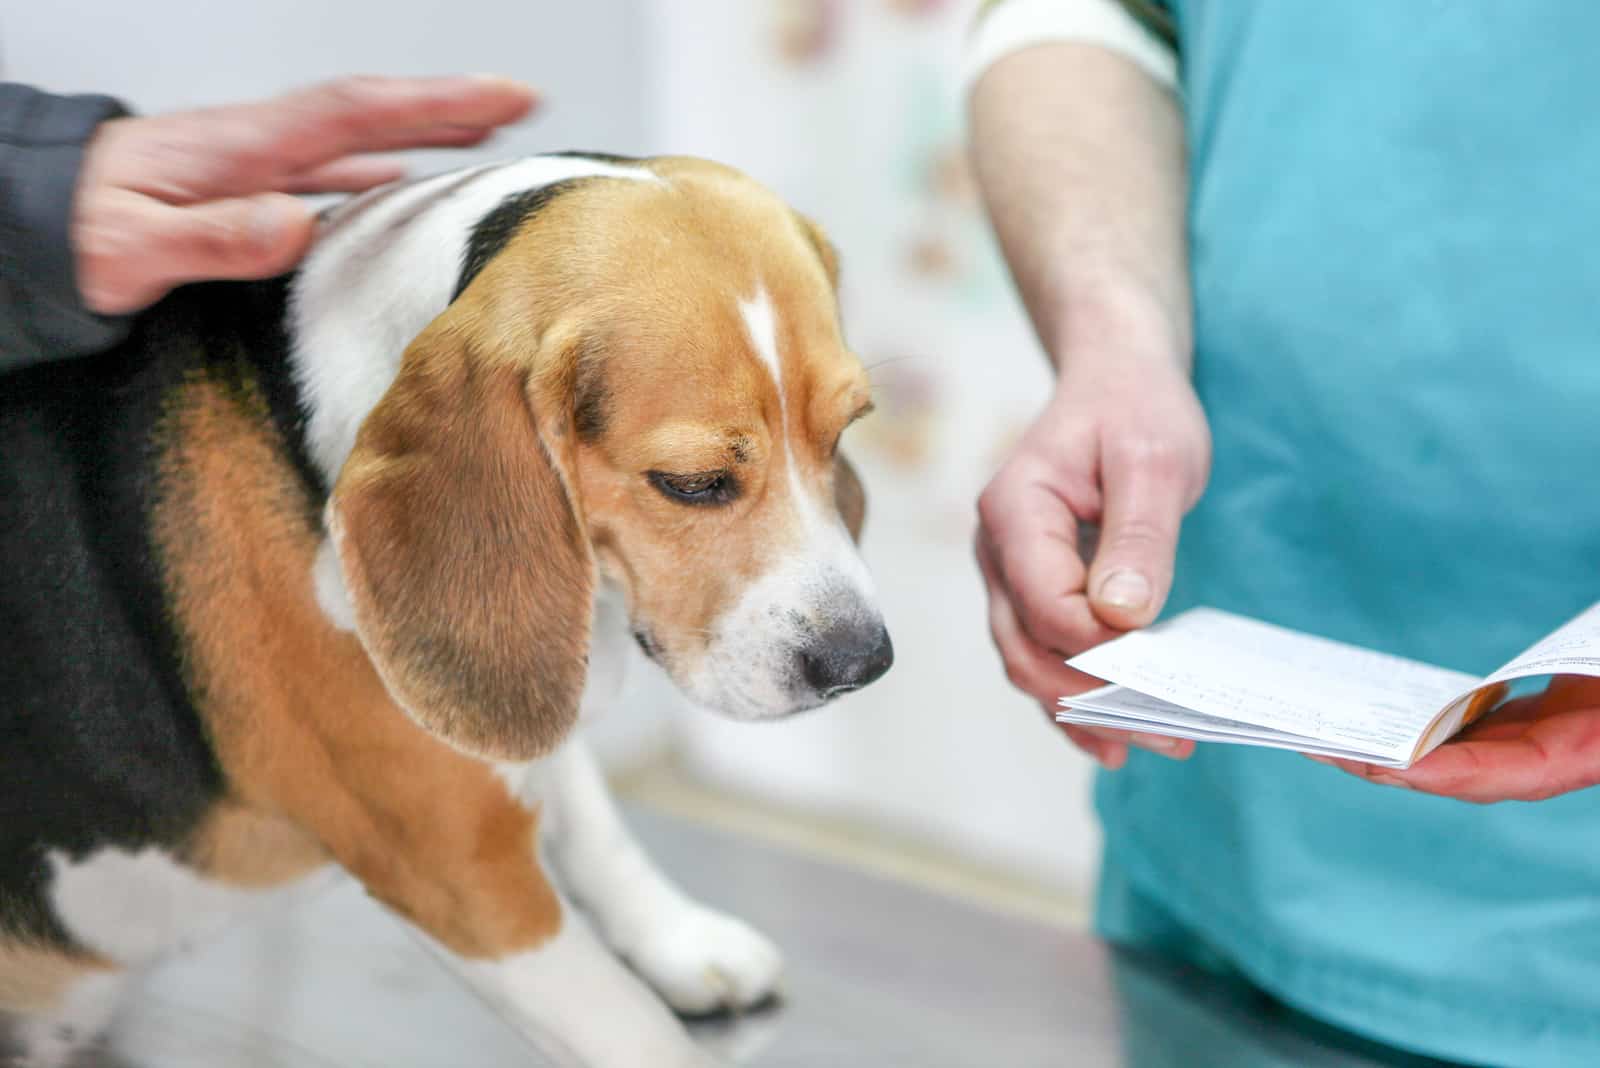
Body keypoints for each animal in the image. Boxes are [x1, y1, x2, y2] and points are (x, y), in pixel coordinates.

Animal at [0, 151, 896, 1068]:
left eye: (845, 431)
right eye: (692, 483)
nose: (862, 664)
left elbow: (591, 816)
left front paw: (678, 939)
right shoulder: (461, 867)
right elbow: (632, 1027)